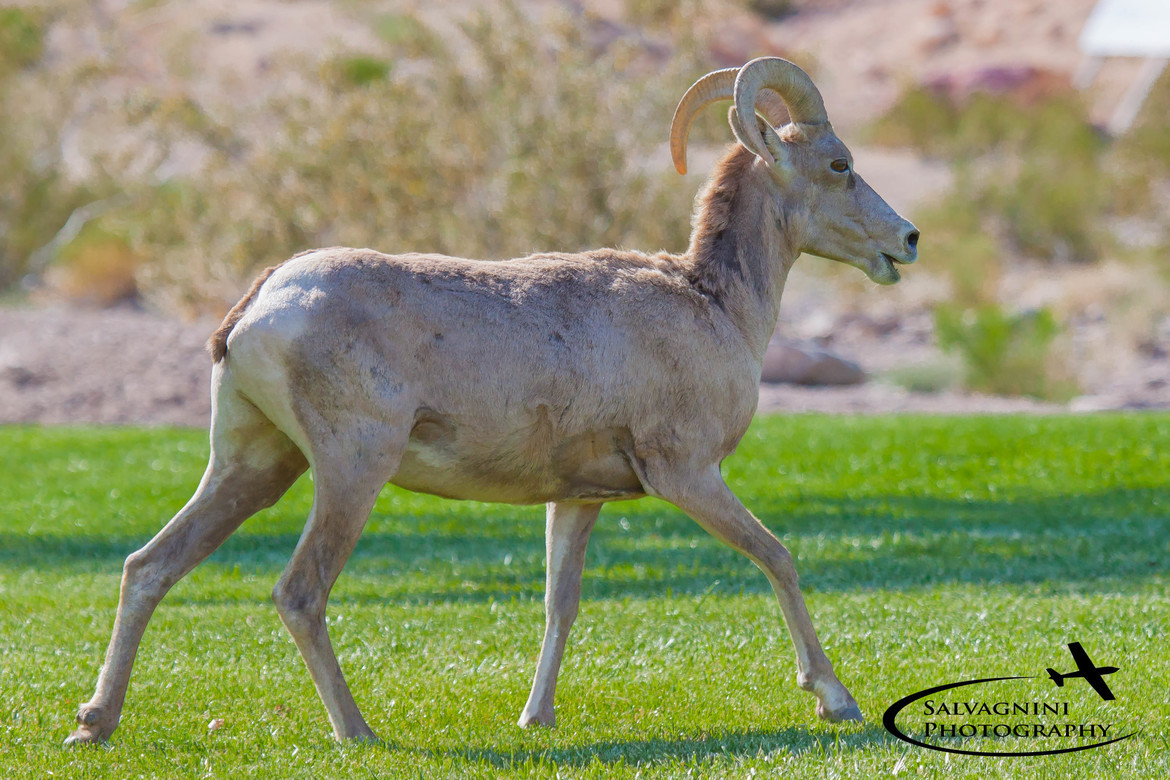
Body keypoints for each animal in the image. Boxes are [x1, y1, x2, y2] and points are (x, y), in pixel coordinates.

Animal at [65, 57, 919, 745]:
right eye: (839, 164)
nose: (907, 240)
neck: (713, 304)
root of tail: (262, 305)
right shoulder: (687, 475)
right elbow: (777, 556)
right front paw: (835, 700)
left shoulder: (578, 499)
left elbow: (560, 602)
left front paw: (535, 718)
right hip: (351, 470)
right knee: (300, 591)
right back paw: (357, 731)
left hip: (253, 466)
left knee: (149, 566)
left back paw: (94, 724)